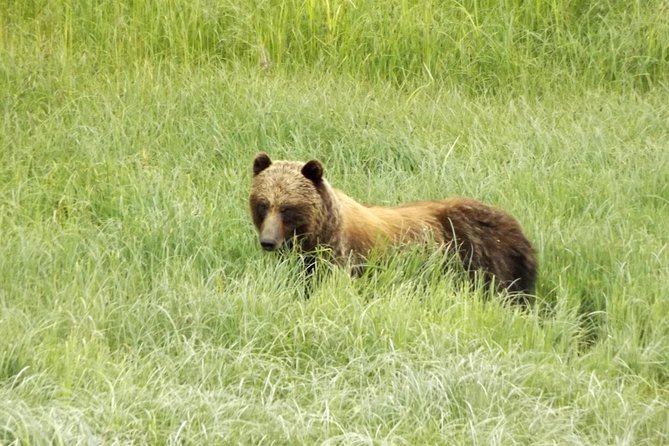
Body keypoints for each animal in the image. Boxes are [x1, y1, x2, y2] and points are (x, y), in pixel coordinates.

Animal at [249, 152, 537, 303]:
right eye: (263, 204)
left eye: (288, 207)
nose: (268, 242)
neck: (319, 233)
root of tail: (517, 226)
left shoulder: (344, 257)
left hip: (482, 256)